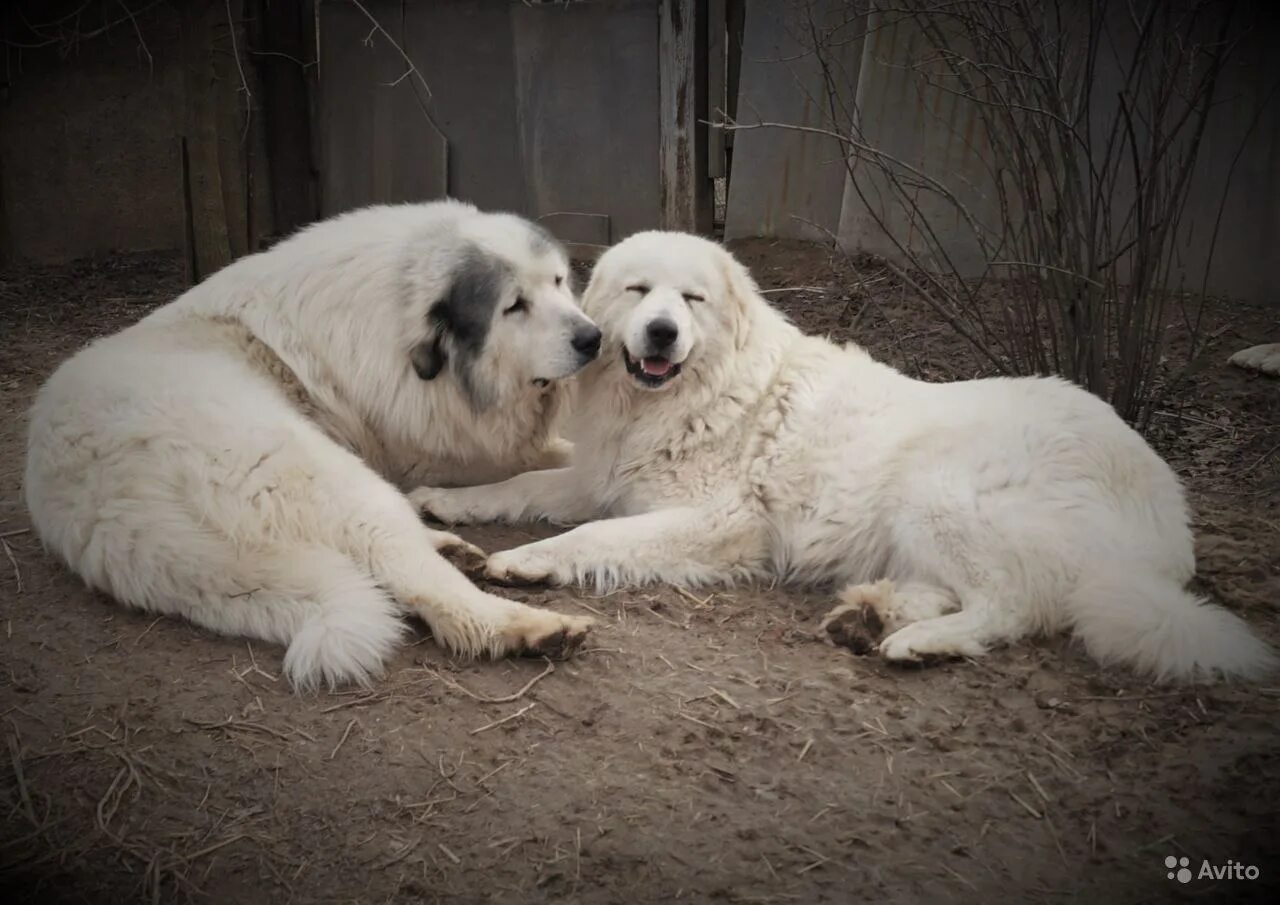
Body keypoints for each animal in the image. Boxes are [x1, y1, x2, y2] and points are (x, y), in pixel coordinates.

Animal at [21, 202, 599, 691]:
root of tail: (94, 489)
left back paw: (451, 550)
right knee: (411, 573)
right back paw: (522, 626)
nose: (592, 339)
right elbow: (551, 459)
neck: (402, 309)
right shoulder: (434, 453)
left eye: (558, 282)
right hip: (322, 473)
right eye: (514, 307)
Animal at [414, 230, 1274, 680]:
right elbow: (522, 484)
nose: (661, 333)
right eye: (636, 291)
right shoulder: (602, 477)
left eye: (691, 300)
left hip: (937, 488)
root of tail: (1165, 511)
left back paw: (916, 640)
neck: (688, 394)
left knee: (1015, 604)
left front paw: (527, 562)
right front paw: (445, 502)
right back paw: (873, 613)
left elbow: (591, 536)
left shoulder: (716, 522)